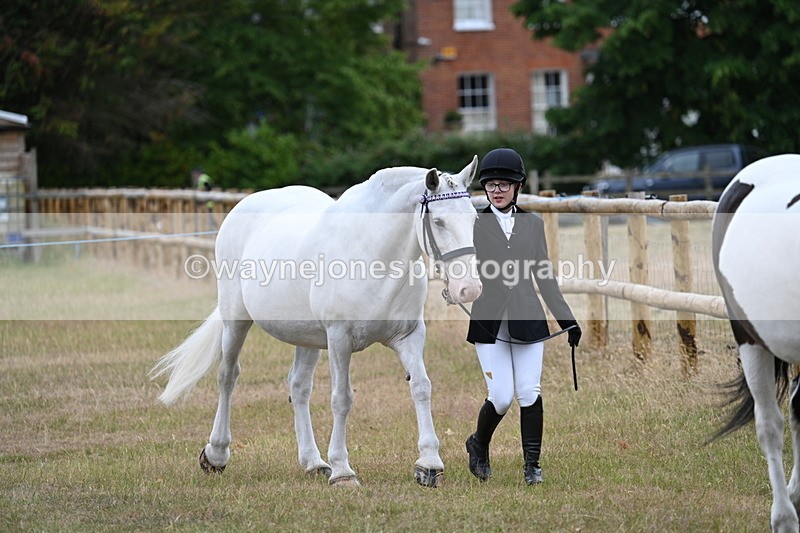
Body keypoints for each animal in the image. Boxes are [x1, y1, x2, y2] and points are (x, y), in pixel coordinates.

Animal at [151, 157, 483, 488]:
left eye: (473, 219)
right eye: (438, 222)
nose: (469, 289)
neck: (373, 255)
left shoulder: (410, 336)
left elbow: (422, 387)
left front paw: (429, 464)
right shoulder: (339, 339)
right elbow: (342, 399)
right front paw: (343, 471)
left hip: (307, 337)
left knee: (298, 387)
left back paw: (312, 462)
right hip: (237, 320)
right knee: (227, 376)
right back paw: (217, 454)